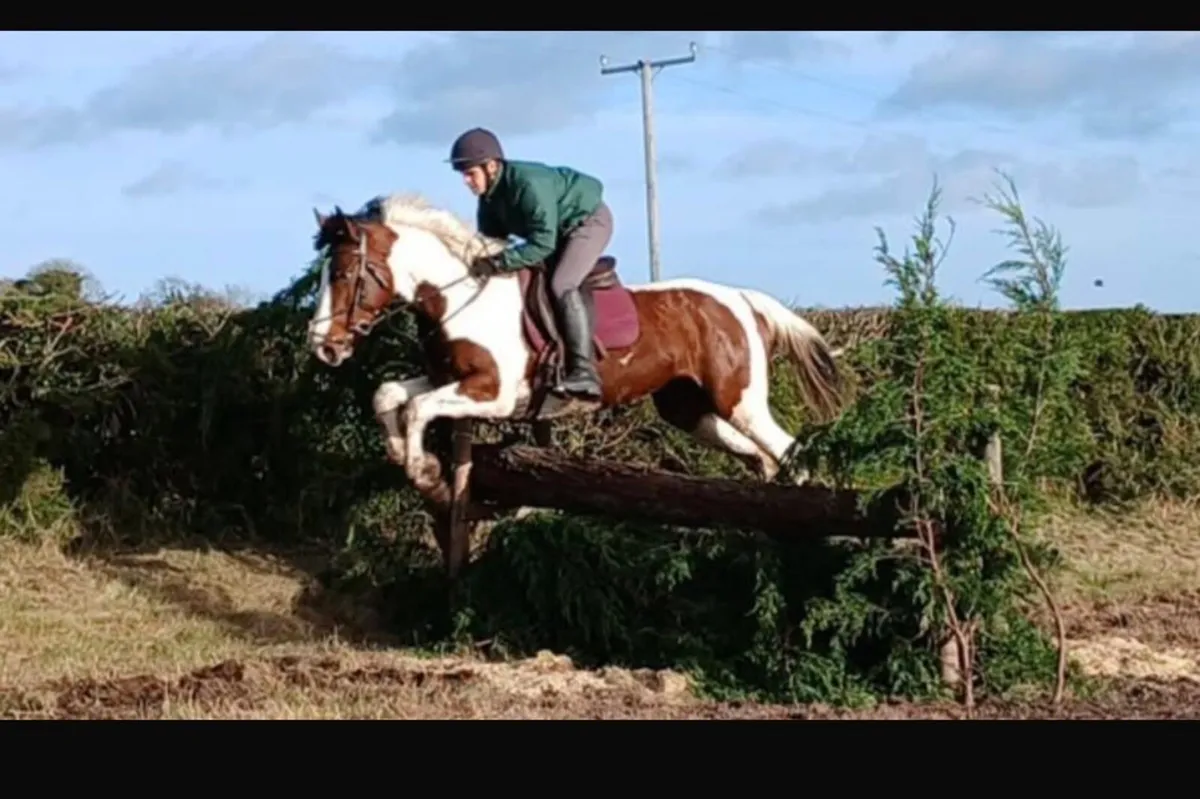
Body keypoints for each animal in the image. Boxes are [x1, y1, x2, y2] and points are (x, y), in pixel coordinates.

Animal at [306, 193, 846, 506]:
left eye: (344, 274)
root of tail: (741, 300)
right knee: (763, 458)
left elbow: (417, 408)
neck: (457, 296)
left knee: (790, 454)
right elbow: (388, 394)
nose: (323, 348)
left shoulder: (494, 394)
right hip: (688, 408)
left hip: (739, 400)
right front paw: (404, 455)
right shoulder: (451, 380)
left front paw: (424, 472)